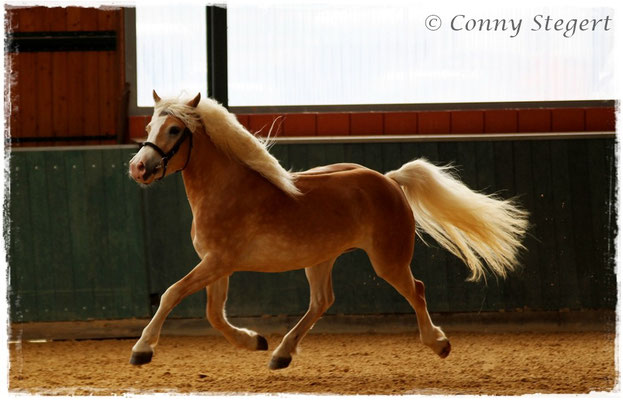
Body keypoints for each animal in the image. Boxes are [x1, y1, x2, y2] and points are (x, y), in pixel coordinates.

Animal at [129, 90, 528, 368]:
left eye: (174, 129)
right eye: (149, 128)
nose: (139, 168)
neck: (227, 190)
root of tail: (388, 180)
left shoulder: (218, 262)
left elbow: (171, 294)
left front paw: (142, 349)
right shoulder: (218, 264)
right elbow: (214, 313)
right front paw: (254, 341)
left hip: (388, 260)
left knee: (416, 290)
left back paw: (439, 343)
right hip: (320, 258)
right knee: (322, 301)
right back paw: (281, 354)